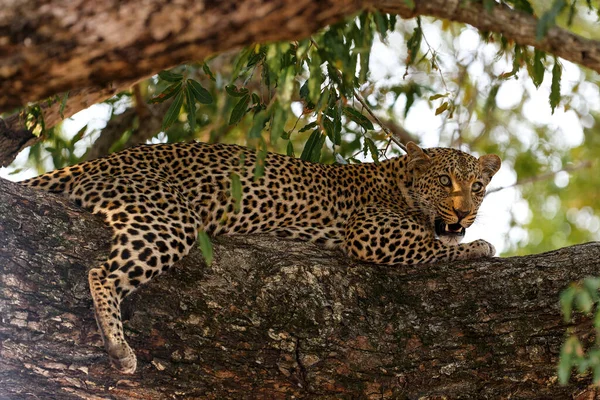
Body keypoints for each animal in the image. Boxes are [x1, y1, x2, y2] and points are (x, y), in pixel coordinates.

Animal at [21, 140, 502, 372]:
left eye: (477, 187)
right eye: (444, 182)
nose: (465, 212)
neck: (401, 182)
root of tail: (103, 161)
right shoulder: (370, 230)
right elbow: (432, 245)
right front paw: (477, 248)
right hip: (169, 218)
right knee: (101, 273)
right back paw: (118, 347)